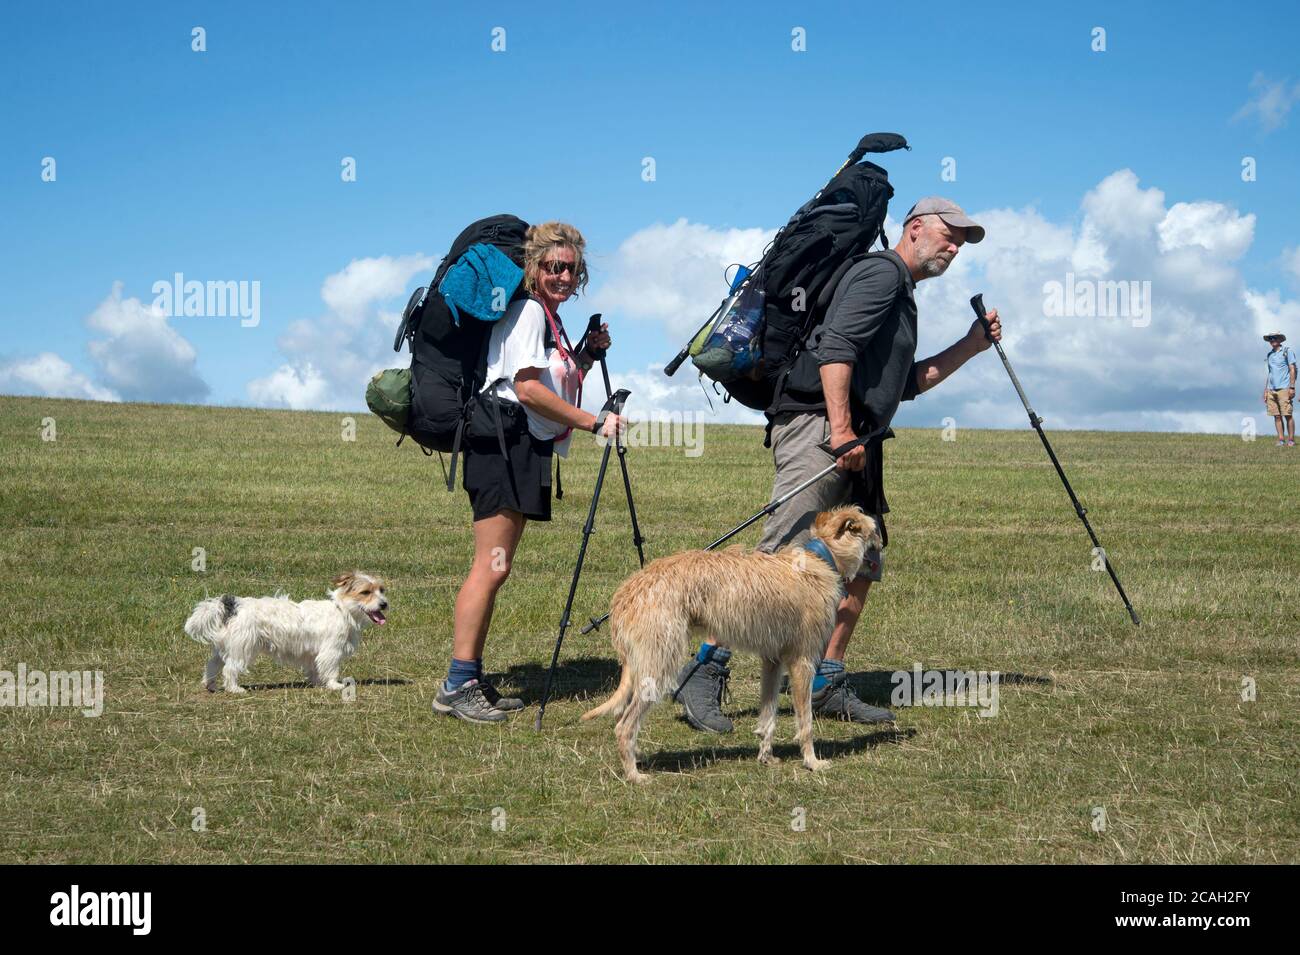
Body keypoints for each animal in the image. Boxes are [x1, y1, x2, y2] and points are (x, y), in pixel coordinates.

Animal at [183, 566, 387, 696]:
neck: (342, 610)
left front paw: (317, 683)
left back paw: (210, 685)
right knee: (230, 668)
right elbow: (330, 669)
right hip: (243, 648)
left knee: (212, 665)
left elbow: (314, 668)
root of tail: (233, 606)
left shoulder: (312, 653)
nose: (384, 604)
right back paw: (234, 689)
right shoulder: (331, 650)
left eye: (381, 590)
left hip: (224, 648)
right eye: (365, 592)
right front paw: (334, 685)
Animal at [585, 509, 878, 784]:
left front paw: (766, 756)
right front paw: (812, 762)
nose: (882, 549)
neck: (819, 559)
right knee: (624, 726)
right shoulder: (802, 663)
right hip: (659, 665)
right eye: (872, 533)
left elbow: (768, 715)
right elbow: (805, 723)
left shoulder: (772, 662)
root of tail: (626, 594)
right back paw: (634, 774)